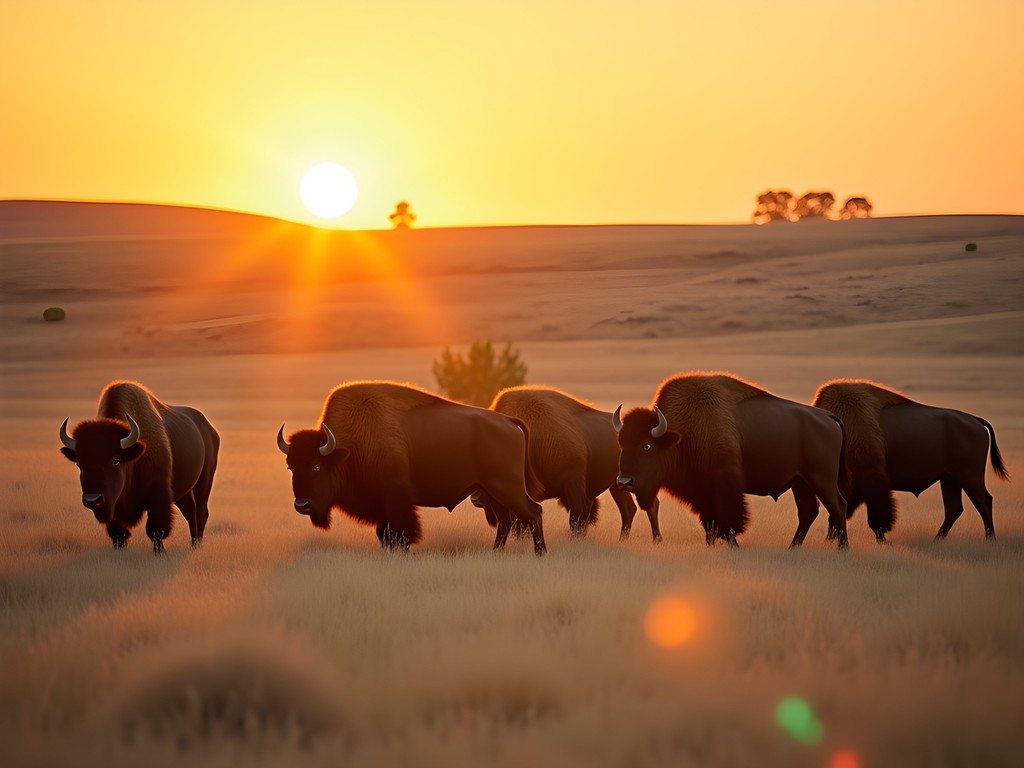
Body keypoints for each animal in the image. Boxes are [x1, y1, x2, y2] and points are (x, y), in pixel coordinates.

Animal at [59, 380, 219, 553]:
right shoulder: (114, 506)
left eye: (115, 461)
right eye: (79, 463)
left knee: (200, 513)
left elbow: (156, 530)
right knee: (190, 511)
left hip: (204, 481)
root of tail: (209, 428)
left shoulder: (159, 496)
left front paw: (160, 553)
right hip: (184, 491)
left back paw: (197, 545)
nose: (92, 500)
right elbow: (119, 534)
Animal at [277, 381, 547, 554]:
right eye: (291, 467)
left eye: (316, 466)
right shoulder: (382, 508)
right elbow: (385, 535)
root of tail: (507, 421)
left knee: (533, 512)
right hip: (492, 491)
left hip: (506, 487)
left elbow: (401, 534)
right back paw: (496, 553)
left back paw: (540, 553)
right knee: (505, 521)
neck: (347, 449)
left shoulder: (396, 500)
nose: (302, 505)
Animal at [471, 385, 651, 540]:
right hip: (617, 485)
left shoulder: (573, 483)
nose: (475, 498)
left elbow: (577, 517)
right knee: (628, 509)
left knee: (626, 510)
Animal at [616, 372, 849, 549]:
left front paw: (733, 546)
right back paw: (792, 548)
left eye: (647, 445)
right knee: (808, 512)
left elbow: (728, 521)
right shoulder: (701, 492)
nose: (624, 482)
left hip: (821, 479)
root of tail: (828, 417)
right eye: (621, 444)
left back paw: (842, 549)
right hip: (801, 482)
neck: (682, 434)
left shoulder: (724, 485)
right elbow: (709, 522)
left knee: (838, 507)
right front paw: (711, 545)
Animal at [813, 379, 1008, 542]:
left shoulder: (871, 483)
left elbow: (874, 515)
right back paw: (937, 540)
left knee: (983, 501)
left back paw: (989, 539)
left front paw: (882, 540)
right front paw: (830, 539)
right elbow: (838, 512)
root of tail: (976, 420)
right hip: (950, 479)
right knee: (954, 508)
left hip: (969, 477)